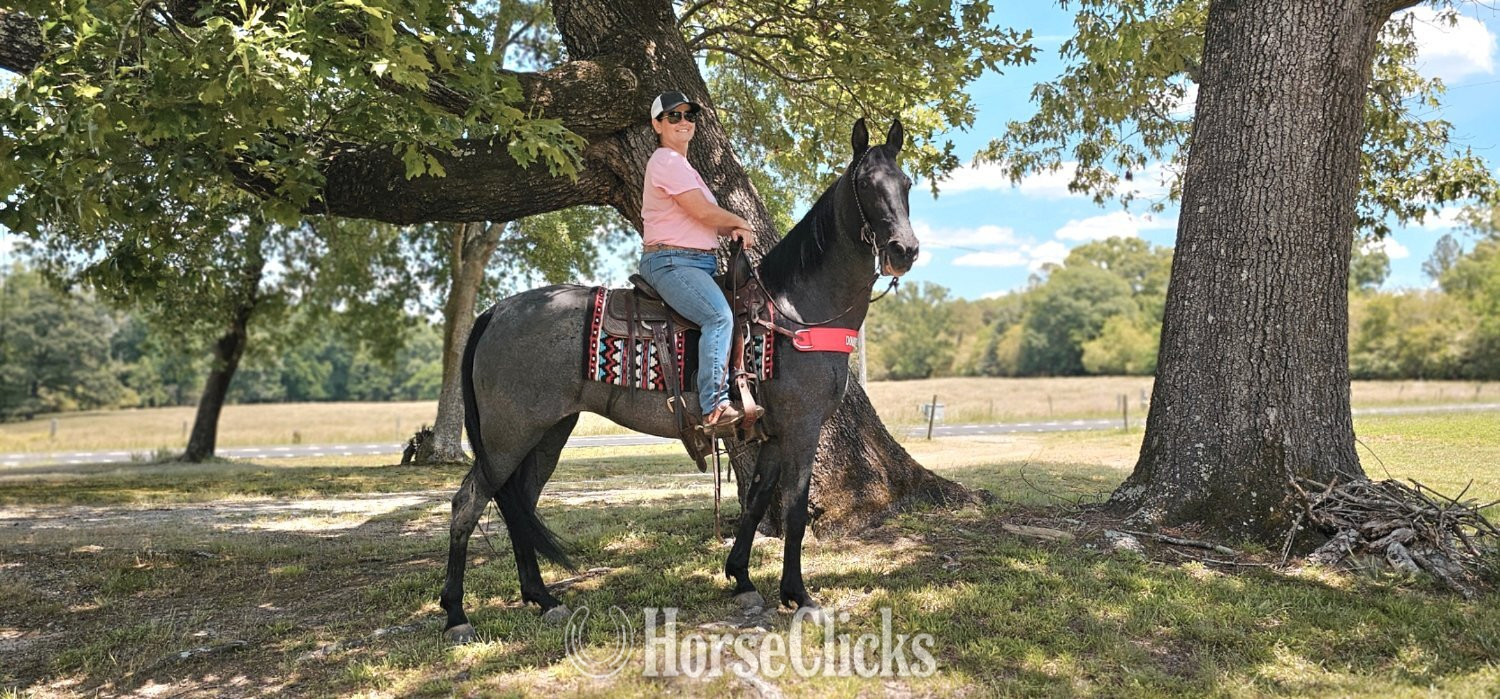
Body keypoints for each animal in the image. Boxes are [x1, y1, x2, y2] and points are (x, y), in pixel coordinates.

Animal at [440, 118, 920, 643]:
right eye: (867, 186)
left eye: (906, 184)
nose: (905, 250)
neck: (793, 310)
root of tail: (495, 311)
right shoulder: (802, 426)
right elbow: (794, 508)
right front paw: (798, 596)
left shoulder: (773, 433)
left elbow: (757, 500)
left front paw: (742, 579)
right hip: (507, 435)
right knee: (468, 504)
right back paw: (457, 615)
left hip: (547, 433)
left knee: (519, 504)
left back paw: (542, 599)